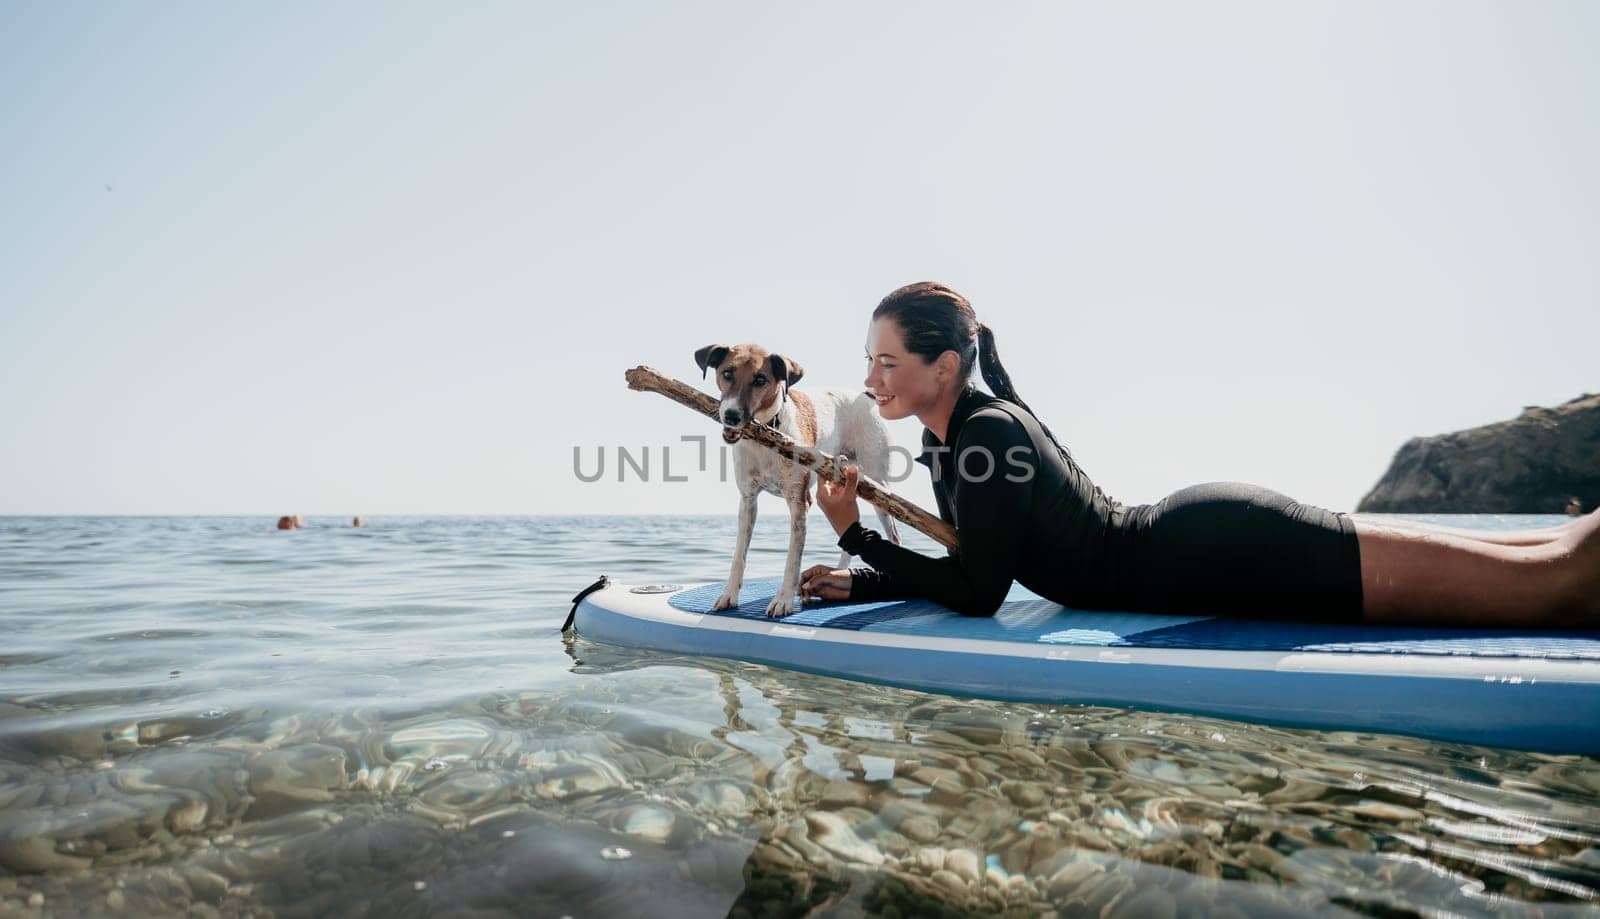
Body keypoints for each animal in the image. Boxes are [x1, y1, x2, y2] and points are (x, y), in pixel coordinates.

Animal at [697, 344, 908, 621]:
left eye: (760, 380)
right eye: (727, 373)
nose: (731, 416)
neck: (766, 435)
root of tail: (867, 396)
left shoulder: (799, 502)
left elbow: (792, 559)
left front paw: (783, 600)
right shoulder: (748, 501)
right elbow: (738, 556)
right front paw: (728, 595)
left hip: (879, 488)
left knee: (894, 535)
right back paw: (838, 570)